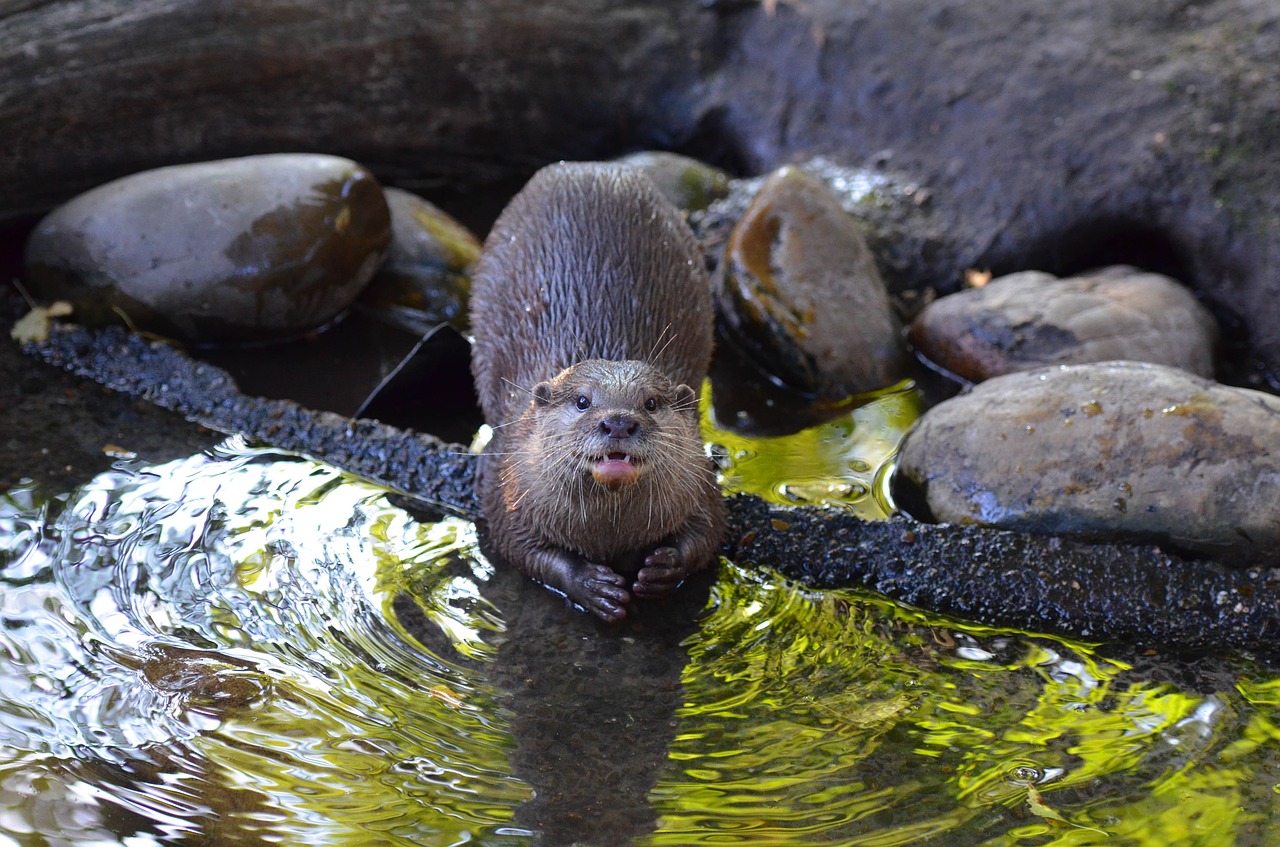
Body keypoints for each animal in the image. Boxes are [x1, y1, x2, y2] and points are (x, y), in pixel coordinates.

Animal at [473, 161, 732, 624]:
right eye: (582, 401)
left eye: (651, 402)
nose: (618, 422)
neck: (610, 536)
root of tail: (589, 167)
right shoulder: (511, 486)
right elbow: (519, 547)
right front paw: (590, 585)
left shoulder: (702, 484)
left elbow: (709, 531)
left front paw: (664, 568)